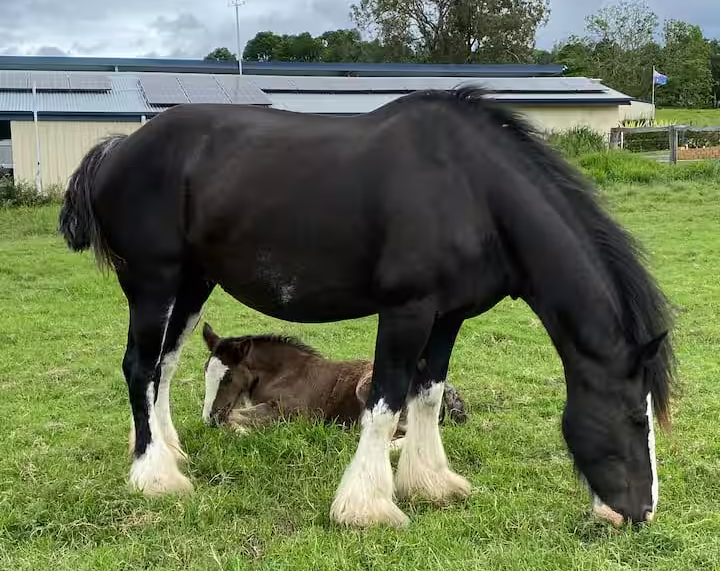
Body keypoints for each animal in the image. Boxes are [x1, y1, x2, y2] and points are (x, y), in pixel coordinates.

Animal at [199, 322, 468, 444]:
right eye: (205, 372)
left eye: (228, 377)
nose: (208, 418)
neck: (282, 372)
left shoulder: (291, 413)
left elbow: (234, 417)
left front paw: (241, 431)